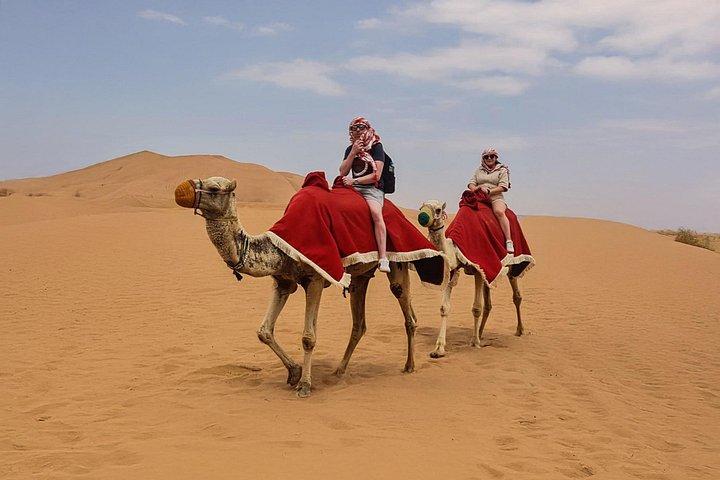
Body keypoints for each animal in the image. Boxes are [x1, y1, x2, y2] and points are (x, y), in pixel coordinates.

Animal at [175, 177, 421, 397]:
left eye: (214, 188)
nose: (181, 190)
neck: (276, 249)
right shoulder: (283, 281)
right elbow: (264, 331)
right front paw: (294, 372)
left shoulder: (315, 279)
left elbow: (308, 337)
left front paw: (304, 385)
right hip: (361, 276)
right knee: (359, 323)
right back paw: (339, 370)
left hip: (397, 261)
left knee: (407, 312)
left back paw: (409, 366)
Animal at [419, 200, 524, 358]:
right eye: (421, 207)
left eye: (438, 210)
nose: (422, 217)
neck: (454, 246)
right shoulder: (454, 268)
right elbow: (444, 308)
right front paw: (439, 349)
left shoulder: (478, 268)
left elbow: (476, 308)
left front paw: (474, 343)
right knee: (488, 303)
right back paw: (480, 333)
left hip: (512, 265)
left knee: (516, 295)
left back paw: (519, 330)